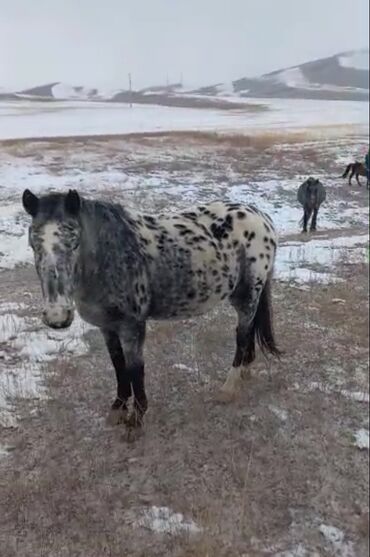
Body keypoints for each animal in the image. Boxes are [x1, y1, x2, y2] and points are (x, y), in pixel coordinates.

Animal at [21, 189, 280, 436]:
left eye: (74, 242)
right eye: (33, 245)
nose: (57, 316)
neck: (110, 256)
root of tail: (262, 218)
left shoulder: (132, 326)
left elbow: (135, 370)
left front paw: (136, 420)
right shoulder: (108, 327)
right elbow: (118, 365)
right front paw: (118, 408)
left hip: (248, 295)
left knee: (242, 335)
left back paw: (229, 387)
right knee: (248, 331)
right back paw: (246, 371)